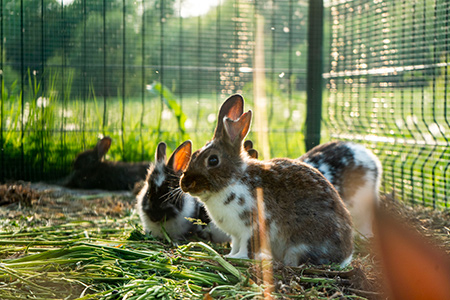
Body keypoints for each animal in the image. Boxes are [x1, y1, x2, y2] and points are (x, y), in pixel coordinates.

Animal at [180, 94, 356, 268]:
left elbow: (247, 247)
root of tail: (346, 256)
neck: (233, 180)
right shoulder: (236, 235)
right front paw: (230, 255)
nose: (185, 184)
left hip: (301, 245)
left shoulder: (252, 227)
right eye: (194, 154)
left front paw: (238, 258)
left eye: (213, 160)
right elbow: (235, 244)